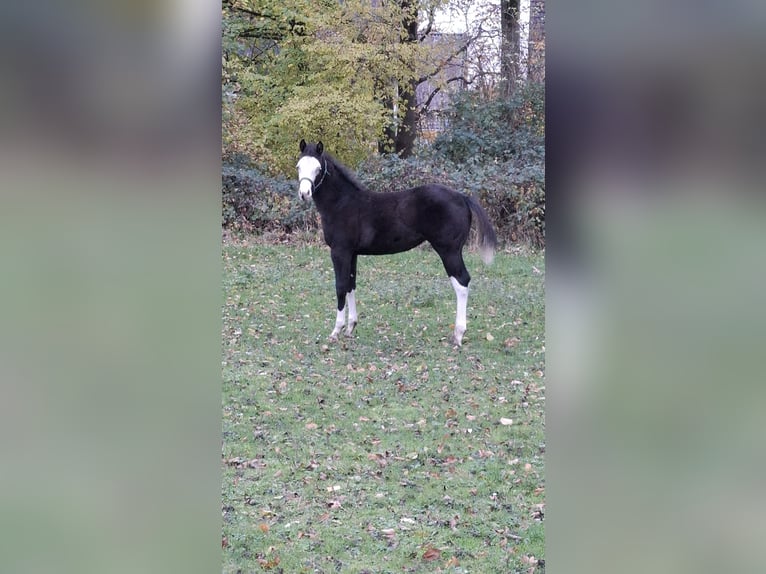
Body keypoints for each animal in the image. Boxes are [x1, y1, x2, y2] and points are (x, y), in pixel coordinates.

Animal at [296, 139, 497, 346]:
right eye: (299, 166)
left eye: (318, 169)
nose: (304, 193)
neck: (341, 203)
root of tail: (463, 198)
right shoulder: (351, 253)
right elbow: (351, 284)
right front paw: (351, 327)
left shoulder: (339, 251)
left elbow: (340, 286)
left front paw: (336, 331)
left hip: (449, 251)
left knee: (461, 282)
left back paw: (458, 334)